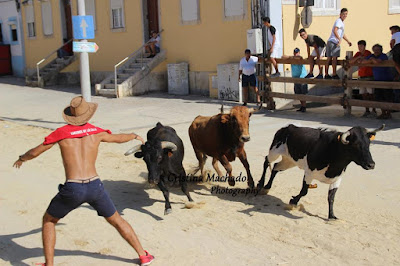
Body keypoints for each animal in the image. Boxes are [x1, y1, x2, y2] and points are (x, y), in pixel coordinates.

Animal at [256, 123, 384, 219]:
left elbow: (331, 197)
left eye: (368, 144)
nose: (371, 164)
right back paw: (260, 185)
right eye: (356, 144)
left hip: (289, 161)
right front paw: (293, 201)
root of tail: (288, 127)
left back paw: (267, 187)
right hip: (274, 151)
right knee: (266, 161)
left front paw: (332, 216)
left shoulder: (337, 179)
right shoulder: (309, 173)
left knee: (276, 167)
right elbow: (304, 191)